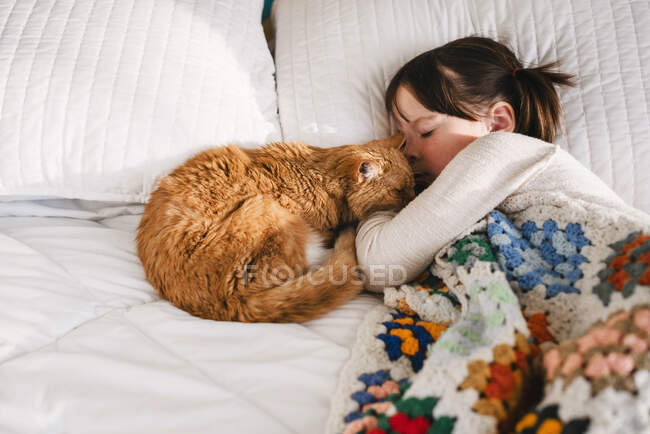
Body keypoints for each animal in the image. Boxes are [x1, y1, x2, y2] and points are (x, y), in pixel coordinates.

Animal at [134, 135, 412, 322]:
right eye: (399, 191)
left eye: (412, 184)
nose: (413, 198)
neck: (317, 173)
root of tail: (229, 306)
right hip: (269, 209)